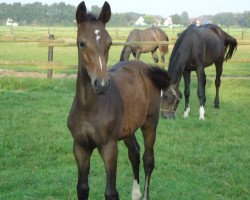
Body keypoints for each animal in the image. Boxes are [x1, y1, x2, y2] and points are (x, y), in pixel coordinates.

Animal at [67, 1, 171, 198]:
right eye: (82, 43)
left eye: (109, 43)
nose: (101, 84)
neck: (89, 108)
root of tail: (146, 68)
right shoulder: (80, 147)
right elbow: (82, 188)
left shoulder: (109, 147)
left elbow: (111, 192)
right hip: (128, 128)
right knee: (135, 153)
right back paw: (136, 194)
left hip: (150, 123)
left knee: (148, 160)